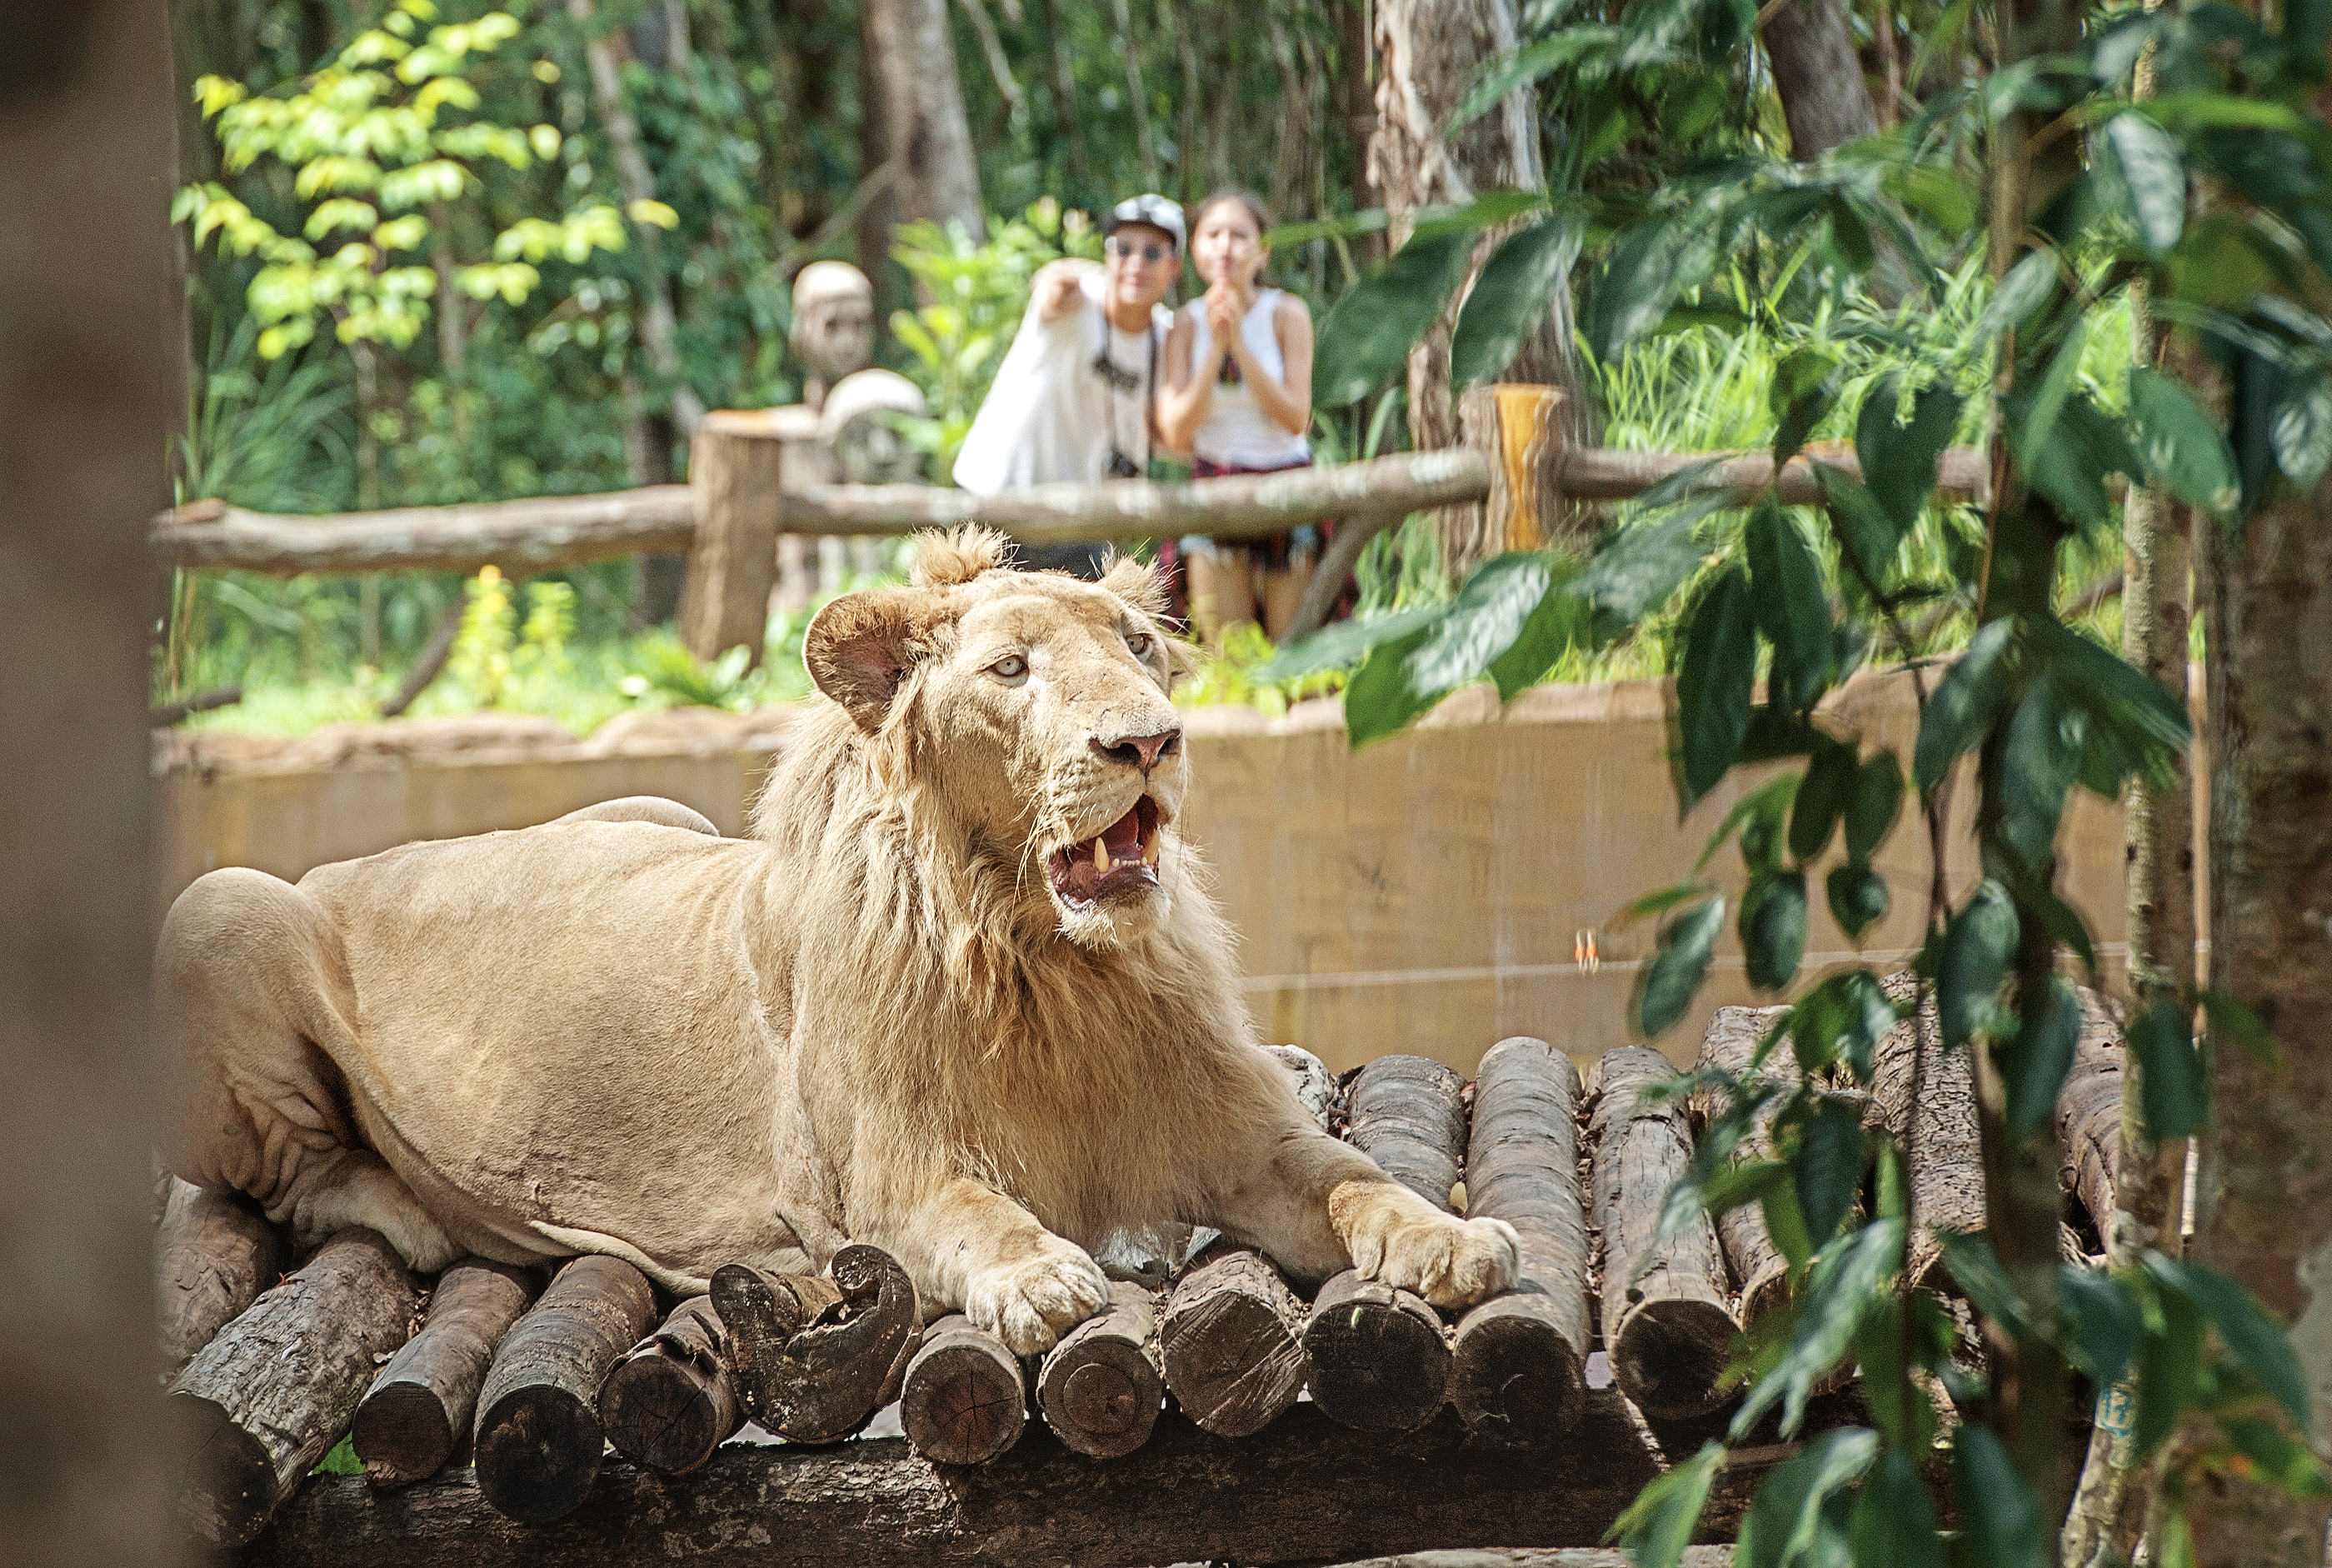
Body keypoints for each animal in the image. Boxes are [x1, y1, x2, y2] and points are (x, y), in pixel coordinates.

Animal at [155, 527, 1520, 1344]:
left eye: (1138, 647)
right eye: (1012, 670)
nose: (1148, 741)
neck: (1046, 961)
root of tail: (351, 860)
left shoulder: (1235, 1132)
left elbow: (1353, 1177)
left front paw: (1454, 1238)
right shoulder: (878, 1174)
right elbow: (977, 1213)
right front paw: (1041, 1276)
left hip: (653, 810)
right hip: (215, 906)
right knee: (284, 1179)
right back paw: (412, 1212)